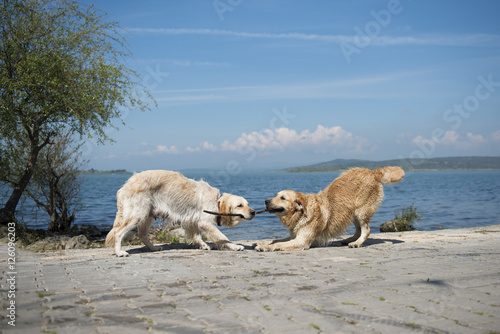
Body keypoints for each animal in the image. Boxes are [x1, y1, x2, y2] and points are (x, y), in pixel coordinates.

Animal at [104, 171, 254, 258]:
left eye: (247, 203)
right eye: (239, 205)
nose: (253, 212)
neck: (216, 201)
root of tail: (125, 185)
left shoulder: (192, 220)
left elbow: (197, 235)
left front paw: (204, 245)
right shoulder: (204, 222)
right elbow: (223, 237)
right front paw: (235, 246)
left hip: (148, 215)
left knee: (142, 234)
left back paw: (154, 248)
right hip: (138, 214)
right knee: (118, 232)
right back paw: (119, 252)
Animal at [256, 167, 404, 250]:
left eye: (283, 198)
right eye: (276, 195)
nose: (265, 201)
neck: (301, 214)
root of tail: (373, 172)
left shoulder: (302, 241)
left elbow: (278, 244)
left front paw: (266, 248)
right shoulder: (294, 236)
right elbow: (276, 240)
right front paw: (263, 244)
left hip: (360, 211)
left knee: (366, 230)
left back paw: (357, 243)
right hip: (351, 212)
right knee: (358, 230)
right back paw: (349, 240)